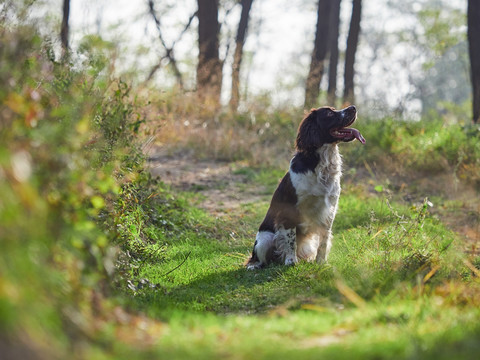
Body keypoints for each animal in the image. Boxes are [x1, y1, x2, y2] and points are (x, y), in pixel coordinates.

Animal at [246, 105, 366, 268]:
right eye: (329, 113)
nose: (353, 107)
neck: (322, 165)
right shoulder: (289, 209)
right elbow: (290, 239)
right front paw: (291, 261)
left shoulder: (329, 210)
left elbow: (324, 241)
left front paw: (321, 263)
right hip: (264, 239)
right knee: (259, 258)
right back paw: (255, 265)